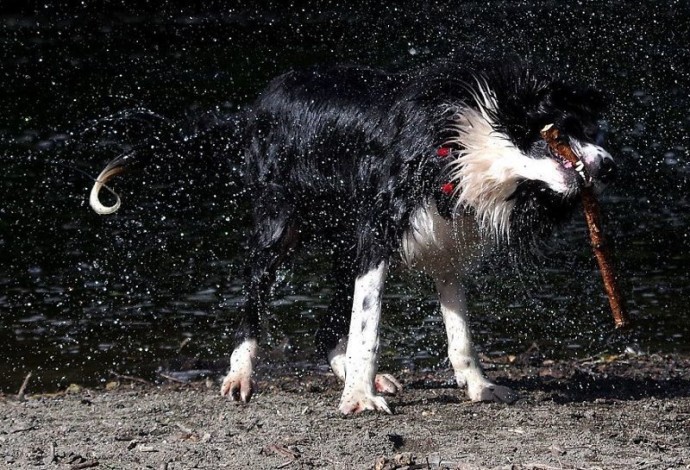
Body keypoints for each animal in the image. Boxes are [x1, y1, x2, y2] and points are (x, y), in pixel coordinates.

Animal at [90, 57, 612, 414]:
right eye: (570, 126)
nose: (607, 163)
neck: (462, 145)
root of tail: (253, 107)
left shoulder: (444, 242)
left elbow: (459, 335)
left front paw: (480, 387)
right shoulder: (376, 236)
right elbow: (368, 326)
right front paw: (358, 398)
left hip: (341, 246)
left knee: (324, 326)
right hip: (277, 229)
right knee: (253, 302)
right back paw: (241, 376)